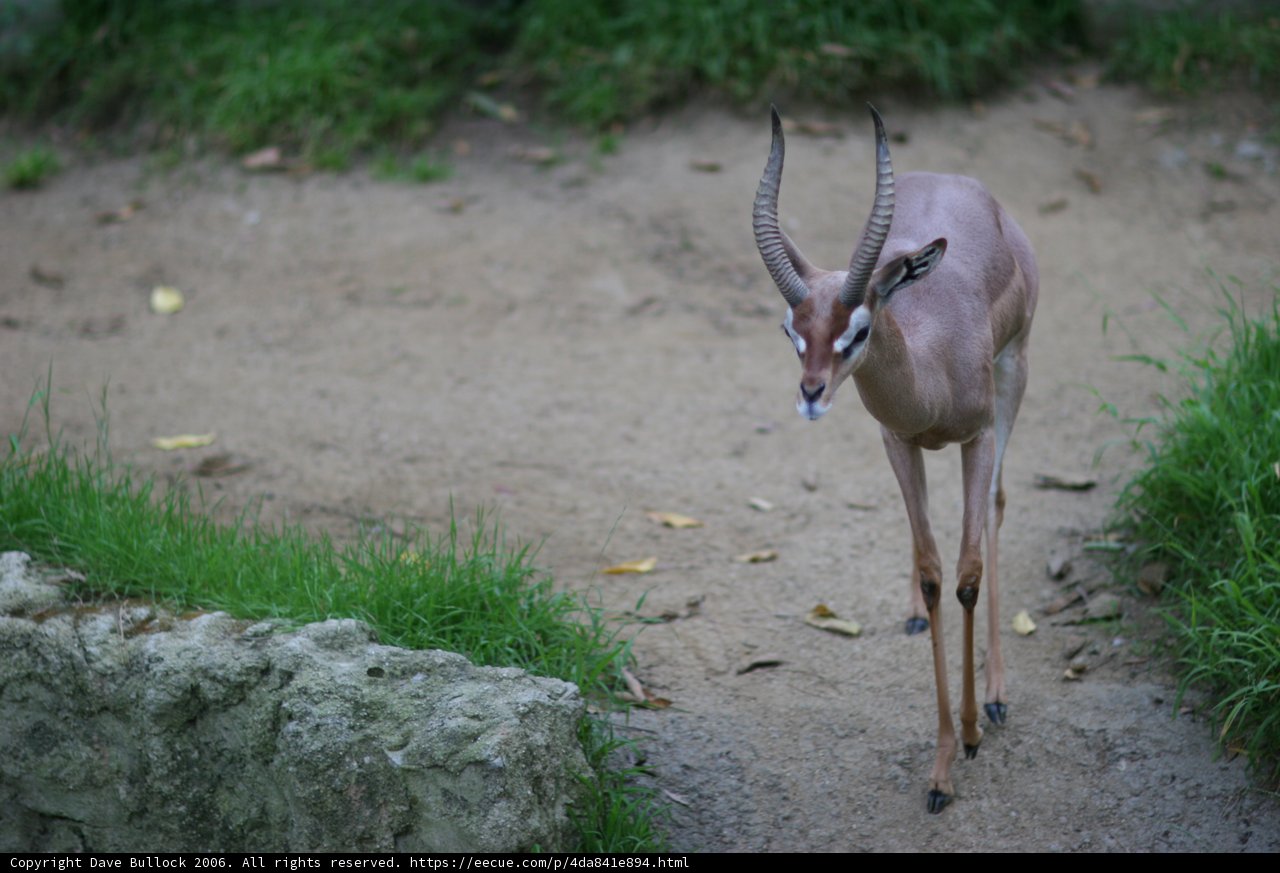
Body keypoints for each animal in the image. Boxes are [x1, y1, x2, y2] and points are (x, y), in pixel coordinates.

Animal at [752, 105, 1038, 813]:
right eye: (792, 329)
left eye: (857, 328)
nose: (811, 394)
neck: (931, 364)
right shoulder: (897, 441)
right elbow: (936, 576)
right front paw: (940, 768)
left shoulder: (978, 436)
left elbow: (967, 576)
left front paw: (970, 734)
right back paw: (912, 614)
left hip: (1016, 371)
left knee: (996, 505)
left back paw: (997, 697)